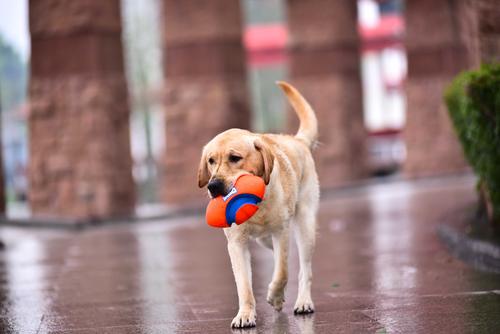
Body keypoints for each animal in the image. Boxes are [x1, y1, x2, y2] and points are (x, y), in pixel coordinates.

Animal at [197, 81, 318, 328]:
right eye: (211, 161)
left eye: (235, 158)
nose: (213, 185)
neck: (258, 206)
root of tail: (297, 140)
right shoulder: (236, 244)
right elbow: (244, 285)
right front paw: (245, 314)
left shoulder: (281, 231)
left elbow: (282, 272)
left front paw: (275, 295)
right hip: (264, 240)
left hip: (305, 227)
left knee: (303, 268)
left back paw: (302, 300)